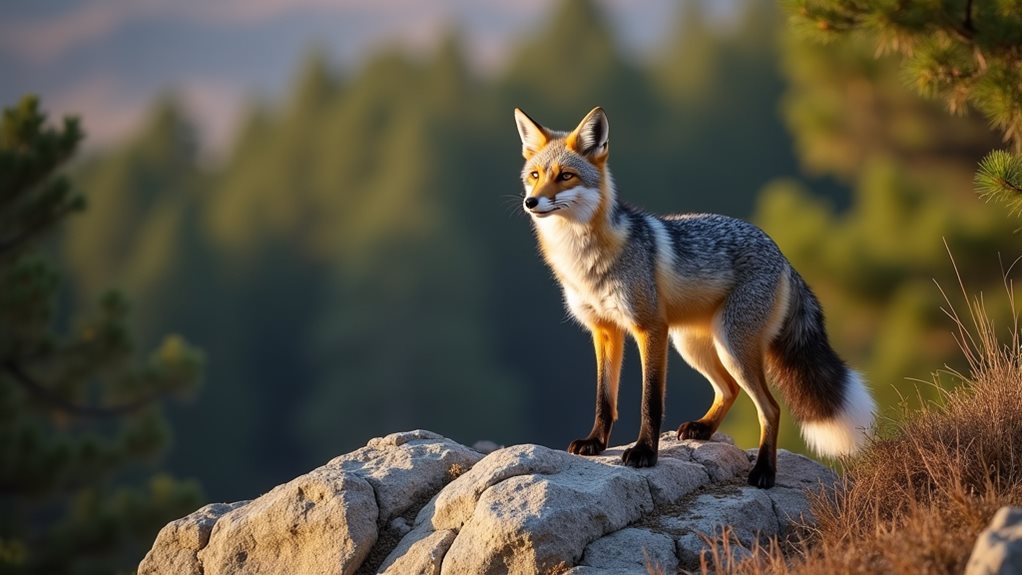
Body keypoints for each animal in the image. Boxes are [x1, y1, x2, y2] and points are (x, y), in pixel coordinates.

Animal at [514, 106, 876, 488]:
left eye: (565, 176)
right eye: (535, 175)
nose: (531, 201)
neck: (584, 262)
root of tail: (782, 254)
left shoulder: (649, 328)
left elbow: (651, 402)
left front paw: (645, 452)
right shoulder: (604, 329)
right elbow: (604, 399)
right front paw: (596, 442)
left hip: (731, 347)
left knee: (771, 408)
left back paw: (764, 470)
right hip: (694, 346)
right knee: (729, 390)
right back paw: (704, 428)